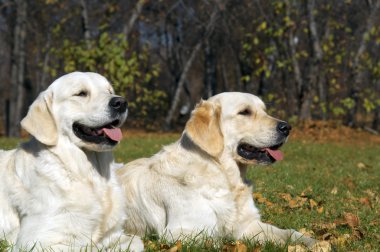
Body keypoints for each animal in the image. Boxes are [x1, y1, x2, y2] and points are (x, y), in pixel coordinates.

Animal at [0, 72, 142, 251]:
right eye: (81, 93)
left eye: (109, 91)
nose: (121, 102)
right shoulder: (35, 241)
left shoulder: (116, 235)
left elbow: (137, 242)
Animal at [117, 91, 316, 247]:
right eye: (245, 112)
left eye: (264, 111)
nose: (287, 127)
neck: (223, 175)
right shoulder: (182, 232)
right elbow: (218, 241)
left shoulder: (248, 225)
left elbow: (290, 232)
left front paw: (313, 243)